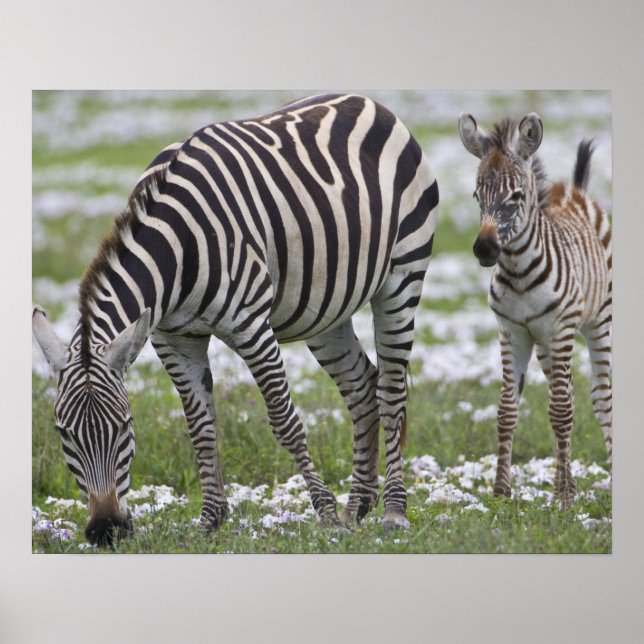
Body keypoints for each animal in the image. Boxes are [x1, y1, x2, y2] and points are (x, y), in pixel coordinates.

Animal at [33, 93, 439, 545]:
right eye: (63, 433)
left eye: (125, 426)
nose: (106, 531)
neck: (176, 251)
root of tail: (369, 102)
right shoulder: (173, 339)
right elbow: (200, 426)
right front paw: (210, 520)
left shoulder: (251, 325)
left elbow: (284, 421)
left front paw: (325, 514)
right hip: (327, 309)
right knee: (362, 387)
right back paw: (357, 506)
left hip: (403, 274)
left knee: (391, 391)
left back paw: (393, 511)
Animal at [458, 112, 612, 508]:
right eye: (477, 195)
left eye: (517, 196)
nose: (484, 249)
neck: (519, 273)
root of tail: (575, 190)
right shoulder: (513, 332)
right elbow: (507, 411)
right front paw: (501, 492)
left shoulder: (560, 329)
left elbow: (559, 412)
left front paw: (561, 499)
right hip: (545, 344)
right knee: (568, 393)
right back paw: (569, 482)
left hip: (597, 323)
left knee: (600, 398)